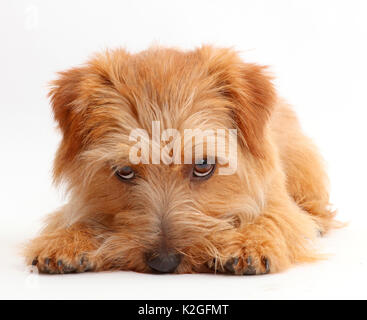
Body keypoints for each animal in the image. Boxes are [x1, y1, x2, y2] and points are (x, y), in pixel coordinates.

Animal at [24, 45, 338, 276]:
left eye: (203, 165)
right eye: (124, 171)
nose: (163, 263)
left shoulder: (276, 198)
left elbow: (273, 216)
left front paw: (247, 242)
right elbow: (71, 217)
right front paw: (67, 239)